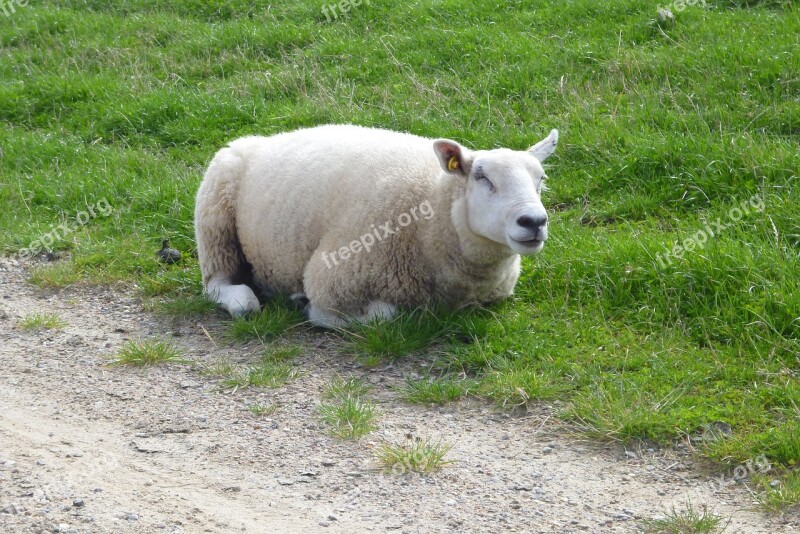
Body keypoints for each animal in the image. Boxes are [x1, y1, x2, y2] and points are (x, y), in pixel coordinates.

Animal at [194, 125, 556, 328]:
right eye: (482, 177)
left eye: (541, 179)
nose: (534, 221)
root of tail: (267, 139)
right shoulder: (332, 279)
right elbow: (383, 317)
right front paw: (310, 308)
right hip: (215, 220)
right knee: (217, 283)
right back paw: (243, 300)